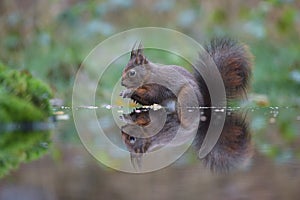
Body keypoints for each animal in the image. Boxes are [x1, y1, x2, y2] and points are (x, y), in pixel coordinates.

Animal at [119, 38, 253, 172]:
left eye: (132, 73)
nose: (121, 83)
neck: (148, 74)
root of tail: (205, 104)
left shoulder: (159, 86)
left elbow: (151, 94)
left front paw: (130, 90)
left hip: (186, 96)